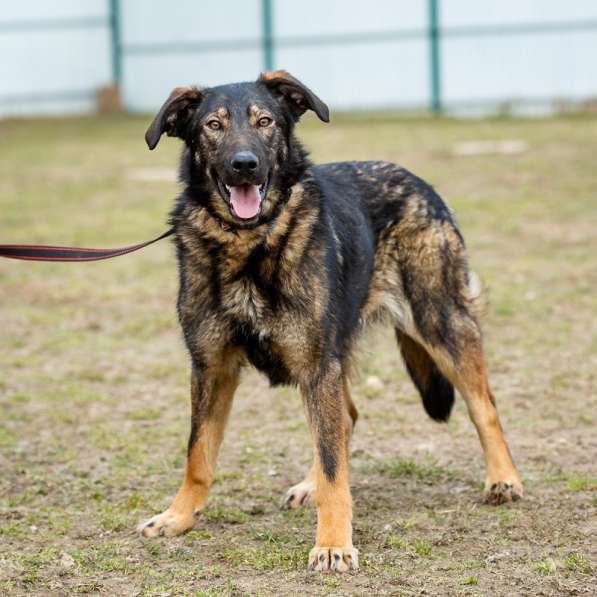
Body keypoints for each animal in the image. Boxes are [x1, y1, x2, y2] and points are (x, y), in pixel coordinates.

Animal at [136, 72, 520, 572]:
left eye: (265, 121)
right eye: (213, 126)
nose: (245, 165)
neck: (251, 245)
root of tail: (416, 179)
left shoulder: (317, 367)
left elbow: (335, 467)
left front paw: (334, 543)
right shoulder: (212, 368)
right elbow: (198, 453)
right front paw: (179, 516)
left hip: (439, 322)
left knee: (482, 404)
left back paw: (504, 479)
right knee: (345, 420)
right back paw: (308, 484)